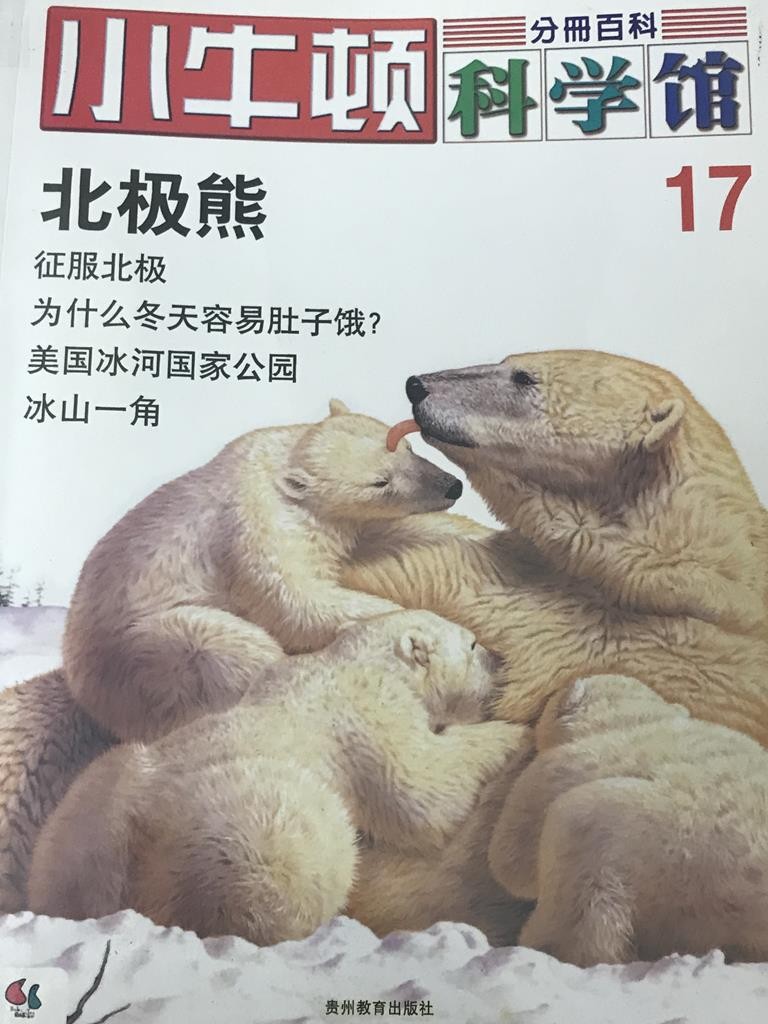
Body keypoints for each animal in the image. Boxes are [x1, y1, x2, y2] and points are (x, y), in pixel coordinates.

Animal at [28, 611, 531, 945]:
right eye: (472, 644)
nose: (503, 658)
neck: (357, 661)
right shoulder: (370, 710)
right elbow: (421, 791)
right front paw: (515, 732)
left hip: (79, 815)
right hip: (250, 826)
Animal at [63, 399, 464, 744]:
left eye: (409, 449)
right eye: (380, 482)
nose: (453, 486)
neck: (282, 468)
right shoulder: (258, 528)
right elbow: (296, 603)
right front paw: (410, 619)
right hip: (146, 655)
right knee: (218, 649)